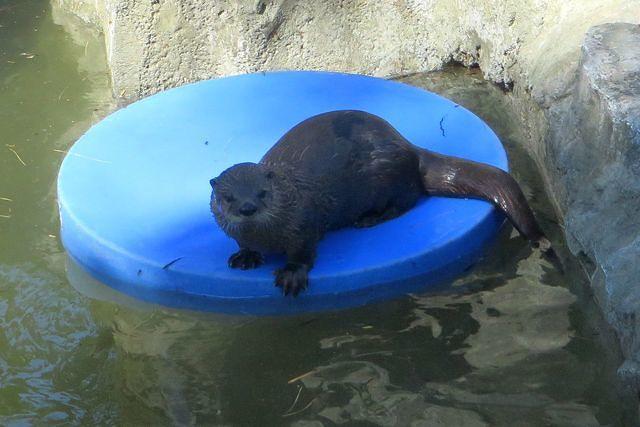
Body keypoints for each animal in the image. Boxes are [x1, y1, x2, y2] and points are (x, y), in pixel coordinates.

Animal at [210, 110, 549, 296]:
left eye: (262, 193)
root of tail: (408, 147)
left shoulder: (305, 223)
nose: (247, 208)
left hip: (388, 174)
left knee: (408, 200)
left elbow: (304, 252)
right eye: (228, 197)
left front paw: (291, 274)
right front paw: (245, 256)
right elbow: (243, 243)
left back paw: (370, 219)